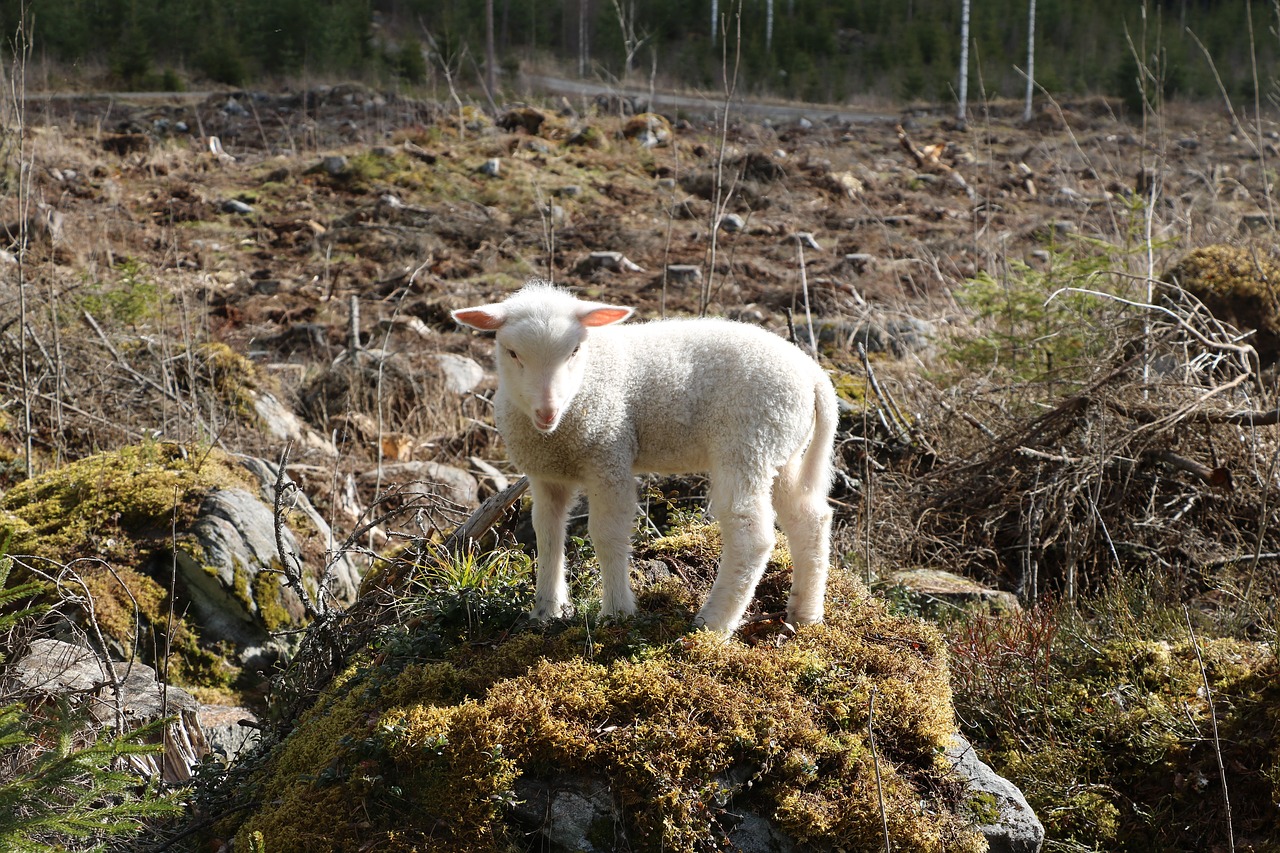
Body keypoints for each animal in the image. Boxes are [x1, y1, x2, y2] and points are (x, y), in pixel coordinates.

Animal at [453, 281, 839, 635]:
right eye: (512, 353)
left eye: (575, 351)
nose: (546, 411)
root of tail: (814, 375)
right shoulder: (547, 474)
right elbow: (546, 535)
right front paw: (547, 611)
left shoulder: (609, 455)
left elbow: (607, 534)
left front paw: (617, 612)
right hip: (782, 448)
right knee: (809, 519)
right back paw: (805, 614)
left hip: (747, 442)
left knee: (751, 535)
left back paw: (713, 623)